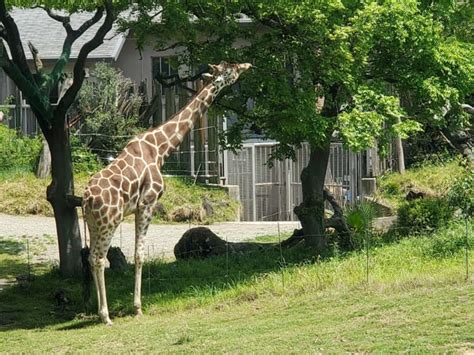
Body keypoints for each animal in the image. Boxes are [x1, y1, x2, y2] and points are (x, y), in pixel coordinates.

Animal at [82, 62, 252, 326]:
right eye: (231, 69)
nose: (246, 65)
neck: (160, 149)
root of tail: (87, 198)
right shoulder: (147, 203)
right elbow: (139, 255)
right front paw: (138, 308)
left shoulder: (138, 208)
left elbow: (137, 253)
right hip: (109, 221)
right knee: (99, 258)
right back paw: (106, 316)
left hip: (92, 222)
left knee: (91, 258)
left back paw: (99, 310)